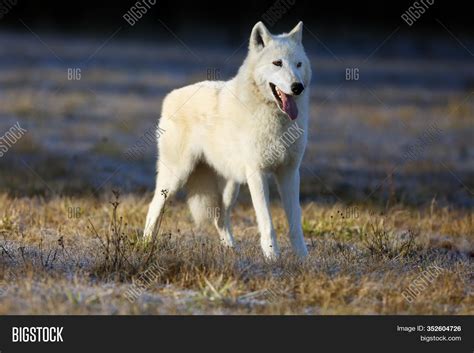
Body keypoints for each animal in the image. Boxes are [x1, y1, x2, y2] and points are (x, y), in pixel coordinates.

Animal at [142, 22, 312, 258]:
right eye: (277, 63)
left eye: (298, 64)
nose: (298, 87)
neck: (276, 120)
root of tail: (170, 96)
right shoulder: (257, 173)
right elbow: (267, 223)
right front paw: (272, 258)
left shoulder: (289, 172)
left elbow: (295, 223)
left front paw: (303, 260)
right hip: (175, 177)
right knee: (153, 208)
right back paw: (145, 245)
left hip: (231, 188)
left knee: (220, 218)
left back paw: (233, 251)